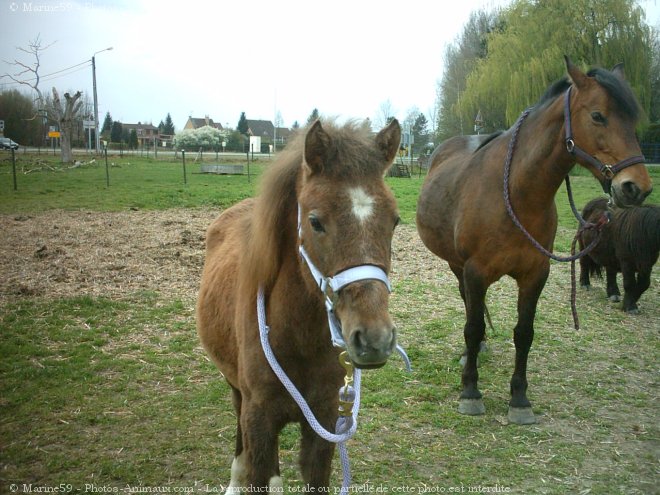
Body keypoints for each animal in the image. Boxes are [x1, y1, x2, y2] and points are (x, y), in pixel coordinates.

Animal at [416, 56, 652, 424]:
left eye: (633, 120)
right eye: (598, 116)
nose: (635, 188)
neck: (515, 193)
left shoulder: (535, 274)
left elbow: (524, 333)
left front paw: (519, 399)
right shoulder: (475, 271)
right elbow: (473, 326)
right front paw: (470, 391)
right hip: (457, 265)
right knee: (467, 304)